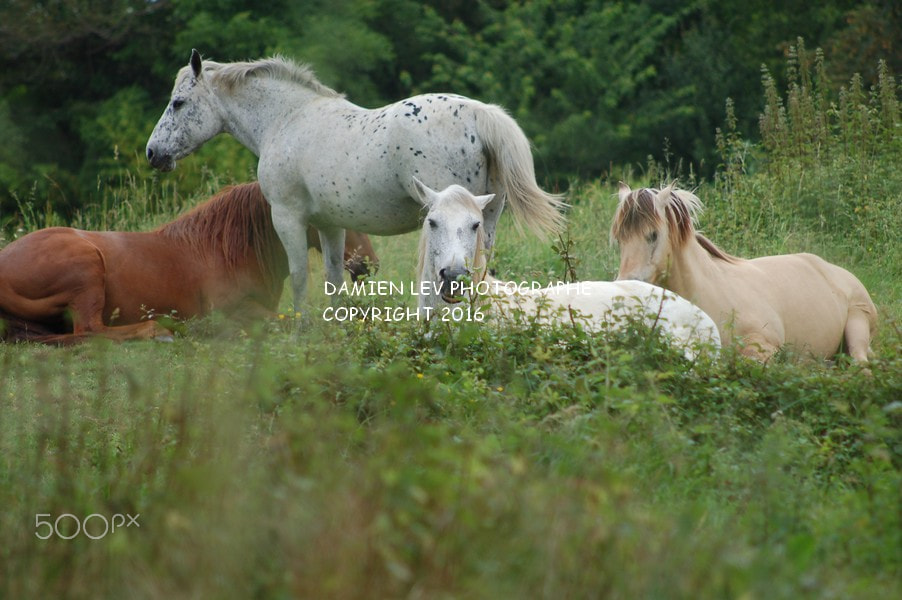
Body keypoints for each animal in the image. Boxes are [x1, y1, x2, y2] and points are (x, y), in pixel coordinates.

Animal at [0, 180, 378, 344]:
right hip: (86, 269)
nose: (369, 264)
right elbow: (291, 323)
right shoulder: (236, 311)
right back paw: (162, 332)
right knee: (91, 330)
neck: (226, 250)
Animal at [147, 49, 564, 312]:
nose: (153, 153)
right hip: (486, 221)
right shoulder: (330, 226)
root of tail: (480, 113)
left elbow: (300, 278)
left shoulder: (288, 218)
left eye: (178, 103)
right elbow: (333, 279)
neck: (288, 119)